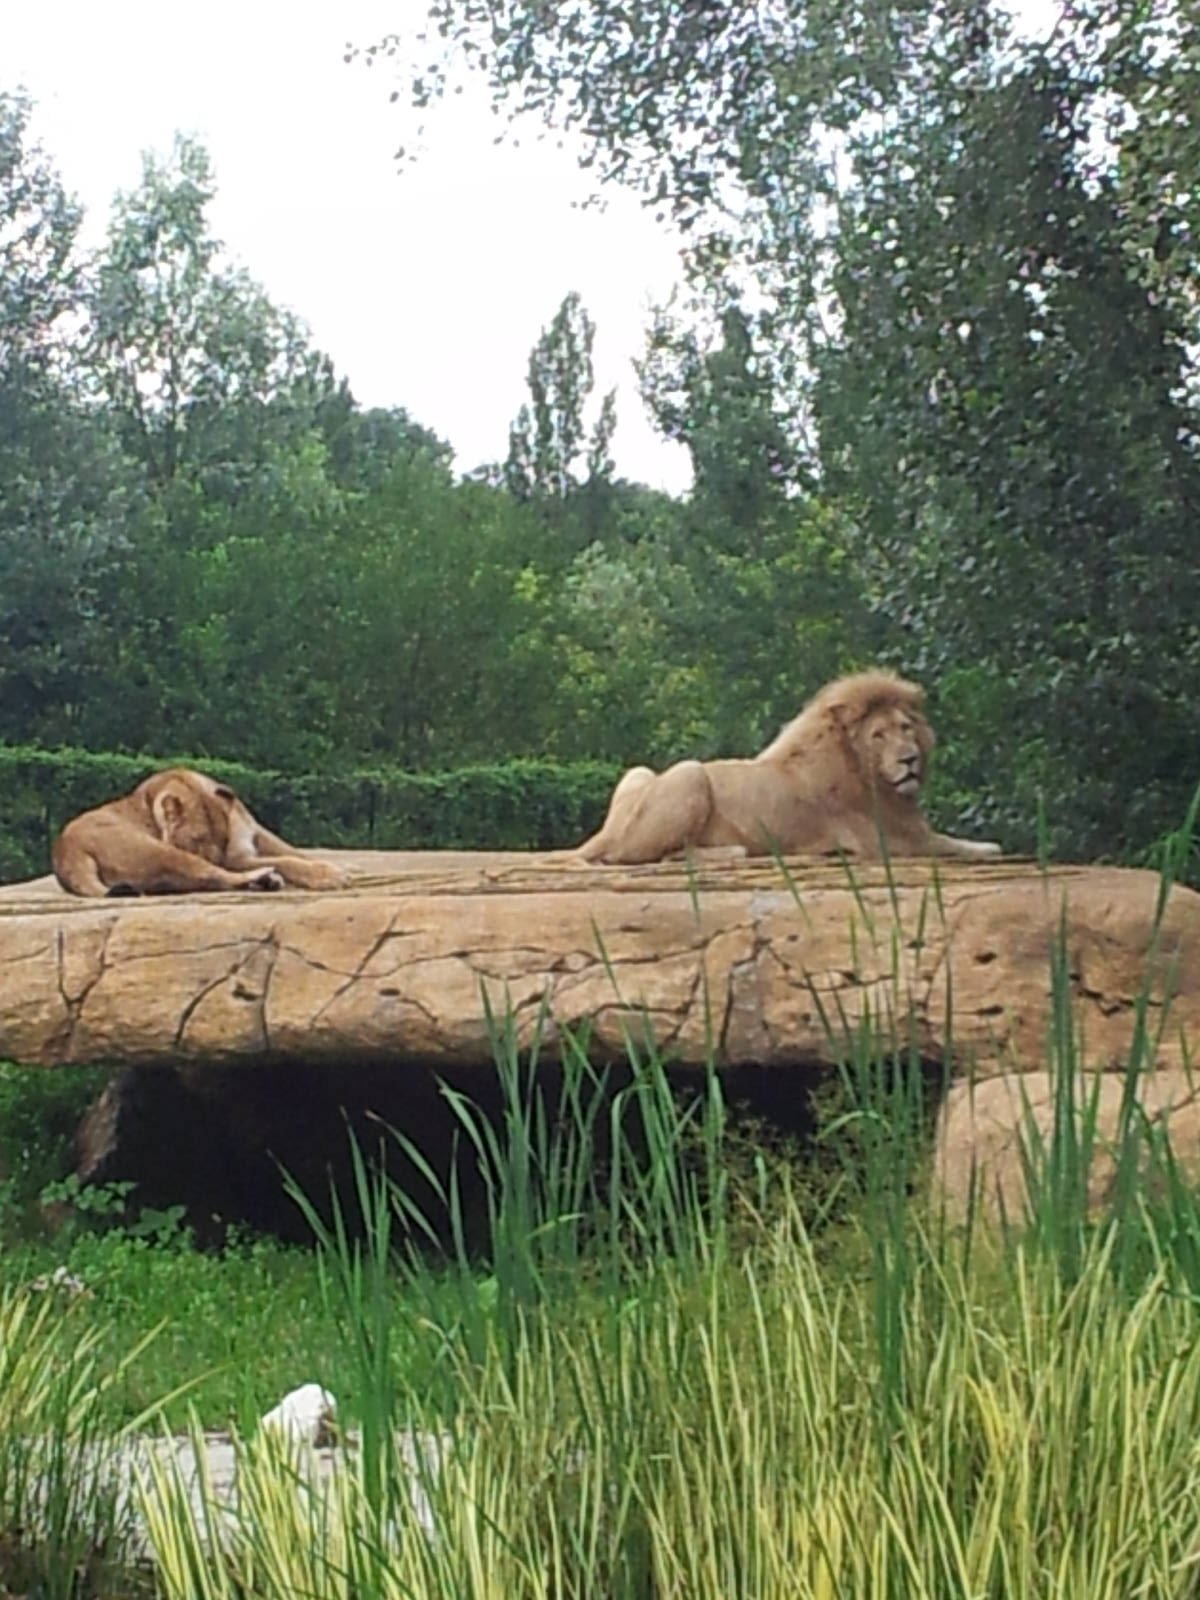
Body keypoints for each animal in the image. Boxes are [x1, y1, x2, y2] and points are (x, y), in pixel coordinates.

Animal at [52, 768, 349, 897]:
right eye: (197, 840)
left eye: (223, 839)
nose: (217, 858)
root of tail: (66, 852)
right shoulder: (236, 859)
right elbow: (285, 861)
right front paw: (331, 875)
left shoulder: (256, 834)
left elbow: (293, 853)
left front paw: (330, 868)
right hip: (158, 853)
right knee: (213, 876)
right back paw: (265, 877)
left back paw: (266, 881)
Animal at [576, 669, 1002, 865]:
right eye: (878, 735)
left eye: (906, 728)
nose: (908, 759)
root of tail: (605, 831)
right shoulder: (892, 840)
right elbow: (958, 845)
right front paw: (987, 845)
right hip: (689, 773)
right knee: (631, 856)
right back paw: (734, 851)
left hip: (640, 772)